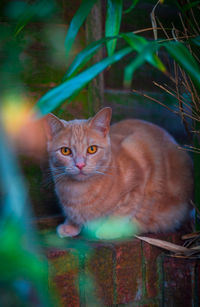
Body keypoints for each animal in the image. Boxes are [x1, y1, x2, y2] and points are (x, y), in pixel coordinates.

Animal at [44, 108, 193, 241]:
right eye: (65, 151)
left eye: (92, 149)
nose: (80, 165)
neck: (78, 192)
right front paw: (71, 225)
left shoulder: (139, 160)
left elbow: (123, 211)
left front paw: (109, 230)